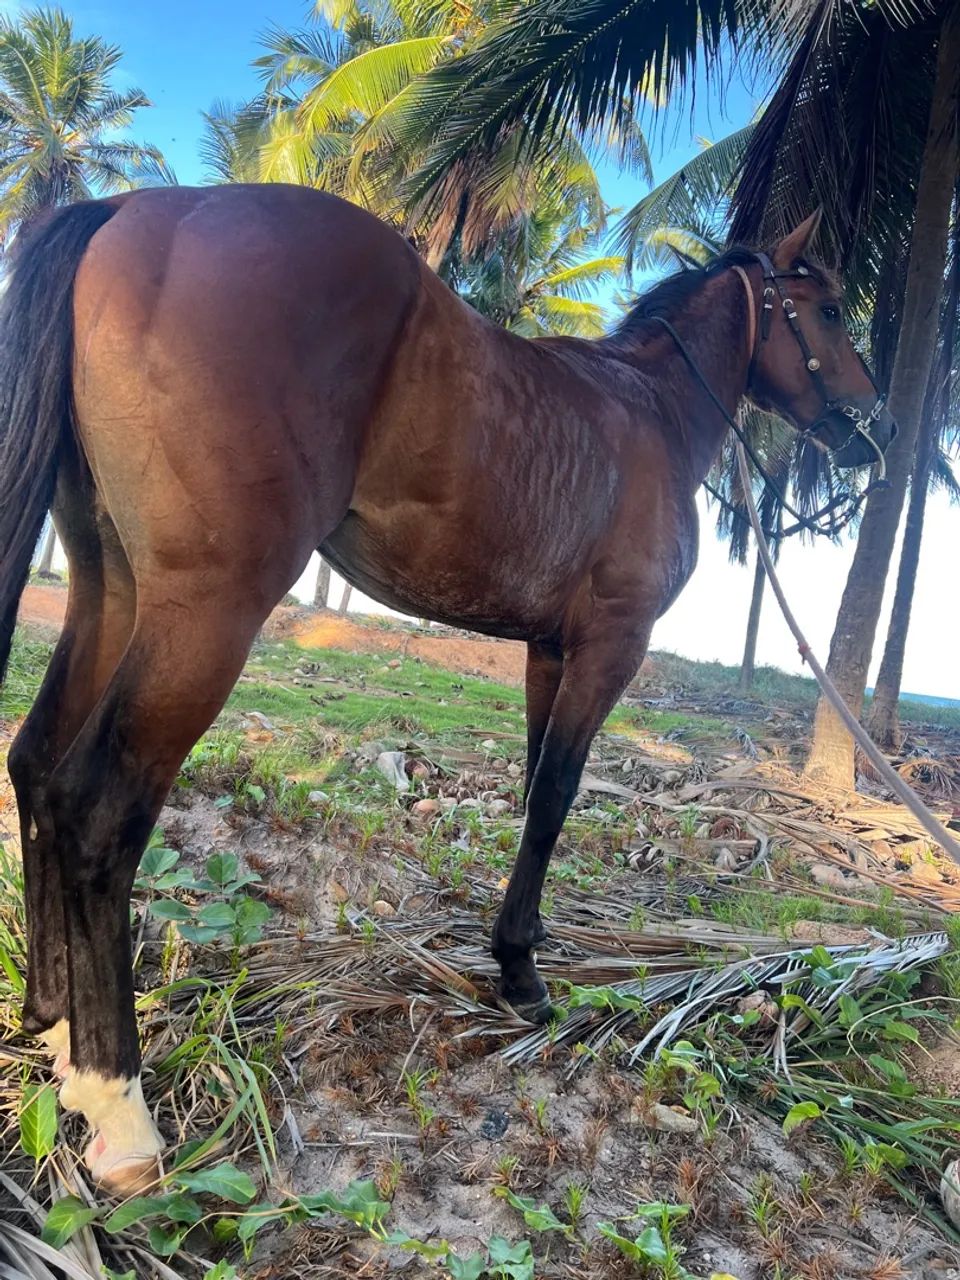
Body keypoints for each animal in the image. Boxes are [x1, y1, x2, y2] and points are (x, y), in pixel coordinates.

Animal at [0, 186, 895, 1193]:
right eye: (829, 308)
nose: (880, 425)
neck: (649, 411)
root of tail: (141, 206)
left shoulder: (548, 651)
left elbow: (536, 793)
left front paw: (512, 955)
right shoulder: (609, 646)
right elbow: (556, 798)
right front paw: (524, 976)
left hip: (111, 587)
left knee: (37, 767)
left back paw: (57, 1030)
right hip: (205, 611)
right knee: (95, 811)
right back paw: (119, 1104)